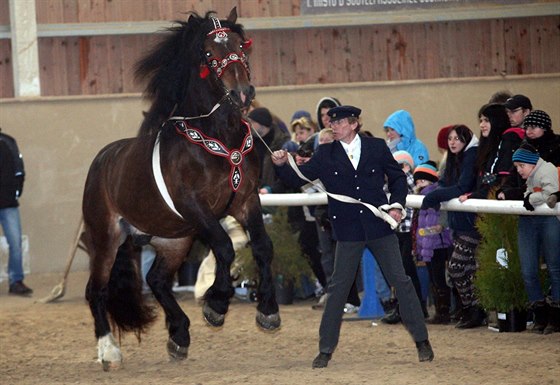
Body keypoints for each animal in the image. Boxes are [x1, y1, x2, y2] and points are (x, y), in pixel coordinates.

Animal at [82, 9, 278, 368]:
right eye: (208, 54)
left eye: (241, 45)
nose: (243, 93)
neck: (217, 138)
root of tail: (101, 161)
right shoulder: (196, 207)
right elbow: (225, 248)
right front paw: (216, 304)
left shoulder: (245, 200)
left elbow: (261, 246)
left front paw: (268, 311)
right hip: (105, 237)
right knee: (97, 290)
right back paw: (108, 350)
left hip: (175, 240)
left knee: (157, 281)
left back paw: (179, 335)